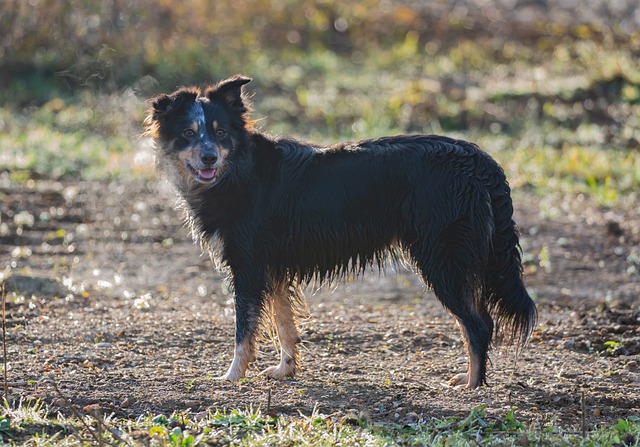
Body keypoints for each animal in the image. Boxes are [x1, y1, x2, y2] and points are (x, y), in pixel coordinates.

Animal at [144, 74, 536, 388]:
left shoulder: (248, 267)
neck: (237, 169)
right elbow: (284, 324)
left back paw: (473, 384)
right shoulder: (271, 267)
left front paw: (231, 376)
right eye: (188, 134)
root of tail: (479, 159)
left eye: (221, 133)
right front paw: (285, 369)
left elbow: (245, 330)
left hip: (442, 257)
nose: (209, 157)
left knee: (477, 323)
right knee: (482, 319)